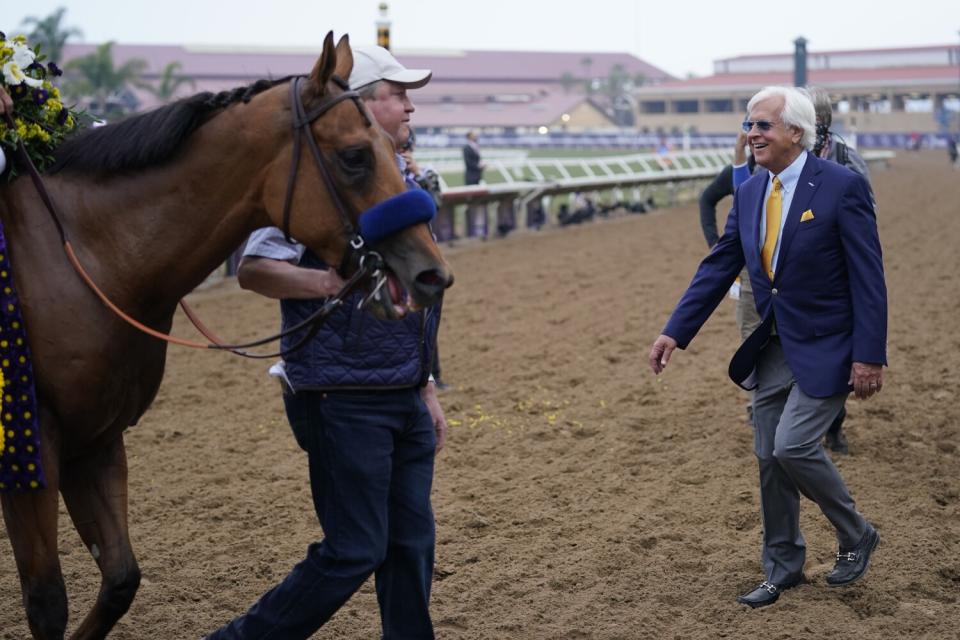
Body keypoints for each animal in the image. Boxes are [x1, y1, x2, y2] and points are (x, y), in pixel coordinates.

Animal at [0, 32, 454, 636]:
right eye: (355, 155)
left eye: (389, 142)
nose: (431, 273)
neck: (81, 255)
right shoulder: (31, 452)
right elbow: (47, 602)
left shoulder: (94, 438)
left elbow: (120, 578)